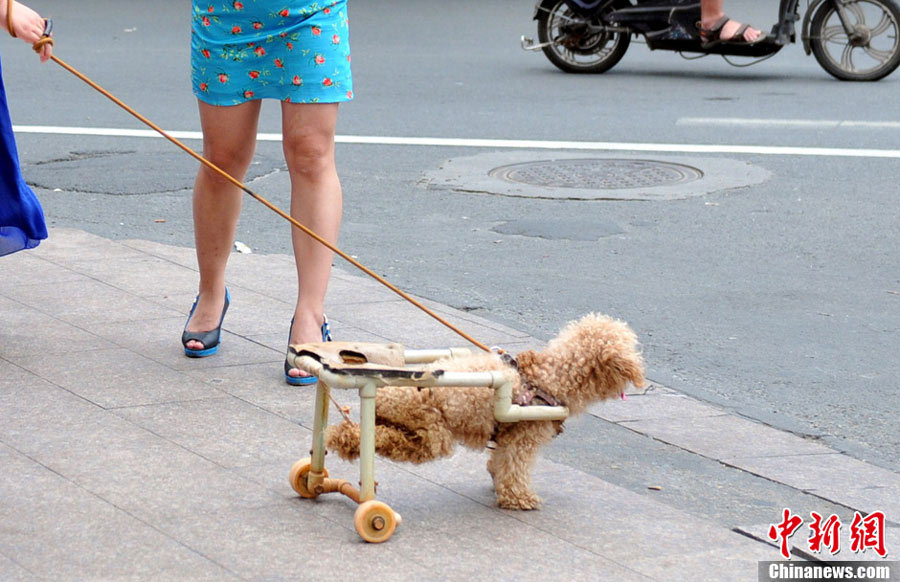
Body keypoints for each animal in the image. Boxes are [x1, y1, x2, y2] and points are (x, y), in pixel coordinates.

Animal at [326, 314, 644, 512]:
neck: (550, 375)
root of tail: (387, 393)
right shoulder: (523, 437)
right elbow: (515, 468)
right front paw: (519, 498)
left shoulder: (507, 435)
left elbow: (500, 462)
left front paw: (498, 481)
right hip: (433, 434)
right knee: (391, 441)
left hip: (406, 425)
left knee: (369, 432)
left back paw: (344, 439)